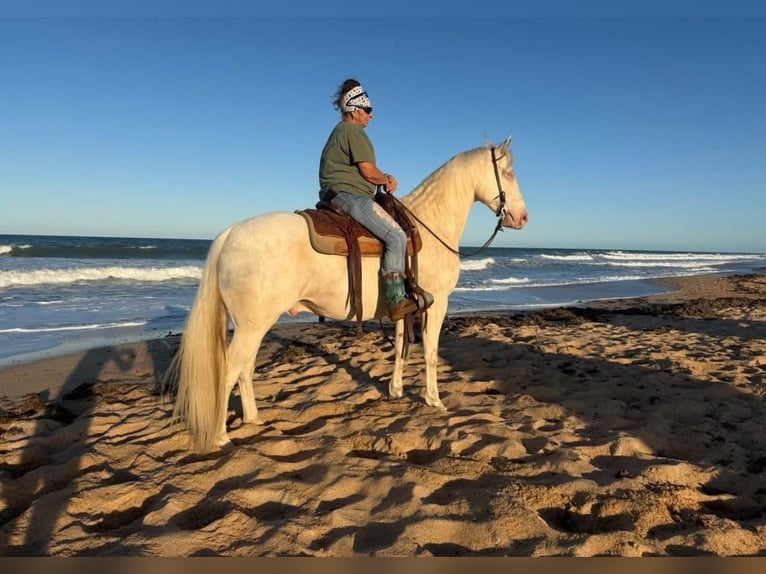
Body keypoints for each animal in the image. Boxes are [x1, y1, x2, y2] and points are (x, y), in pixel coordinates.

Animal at [166, 137, 528, 452]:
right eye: (509, 173)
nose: (522, 217)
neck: (427, 226)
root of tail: (230, 233)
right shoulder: (436, 305)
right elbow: (430, 352)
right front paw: (434, 400)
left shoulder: (406, 307)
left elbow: (401, 347)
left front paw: (396, 391)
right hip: (251, 326)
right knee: (229, 370)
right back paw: (220, 437)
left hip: (253, 326)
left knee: (245, 367)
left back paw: (253, 418)